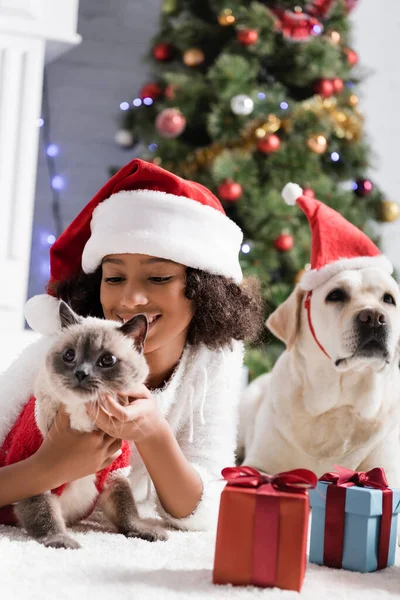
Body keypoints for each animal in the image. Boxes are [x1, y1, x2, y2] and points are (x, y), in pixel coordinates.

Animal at [239, 268, 400, 488]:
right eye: (336, 295)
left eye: (389, 299)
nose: (374, 317)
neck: (337, 405)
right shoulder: (259, 463)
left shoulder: (389, 472)